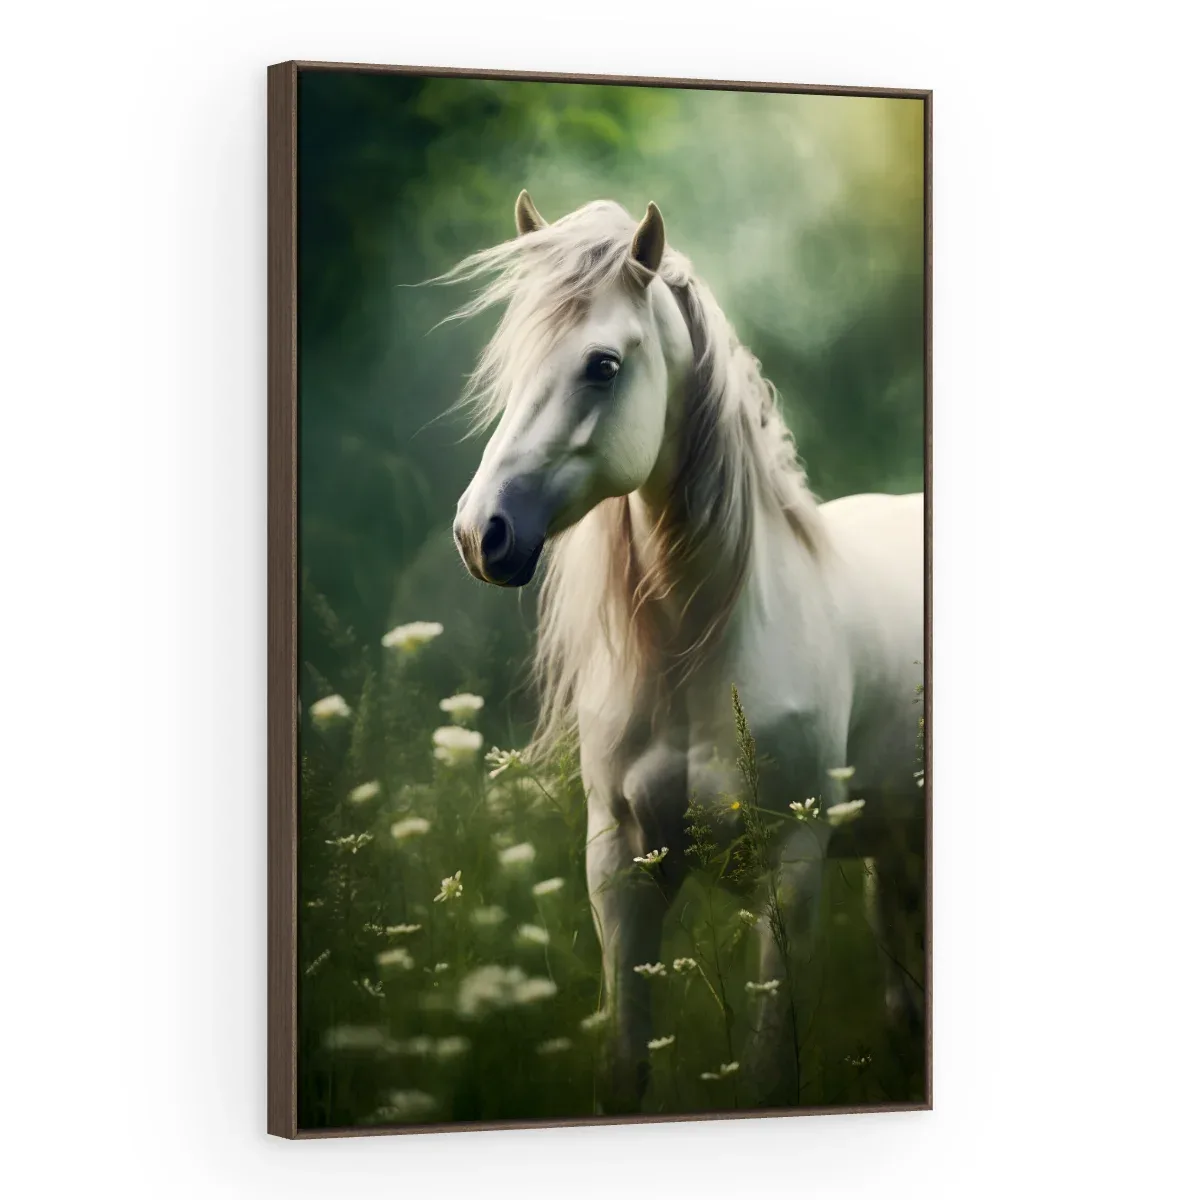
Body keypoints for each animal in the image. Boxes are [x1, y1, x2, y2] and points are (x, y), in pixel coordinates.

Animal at [446, 191, 925, 1110]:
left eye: (602, 365)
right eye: (512, 361)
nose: (481, 533)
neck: (700, 651)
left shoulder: (791, 867)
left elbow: (772, 1072)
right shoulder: (621, 866)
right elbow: (622, 1066)